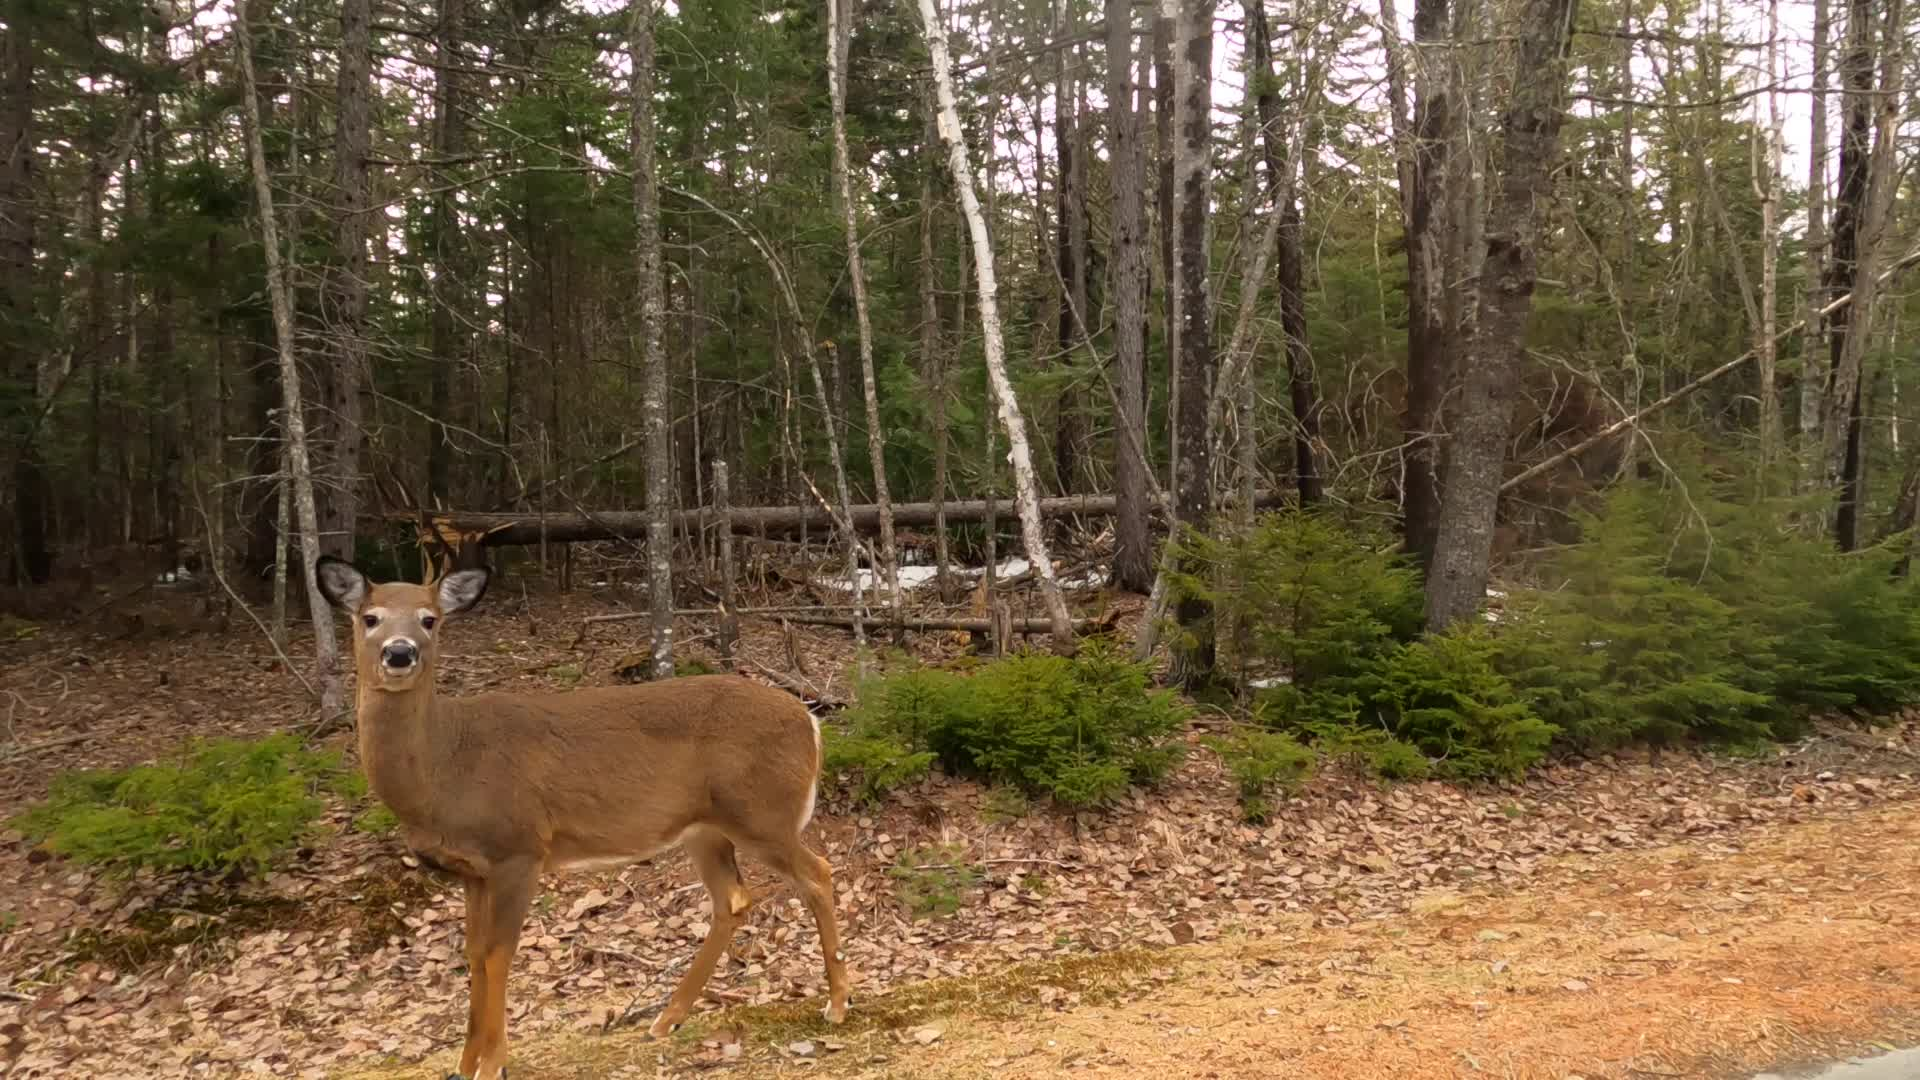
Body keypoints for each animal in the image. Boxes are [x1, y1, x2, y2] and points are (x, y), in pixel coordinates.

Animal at [313, 555, 851, 1080]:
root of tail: (810, 720)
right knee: (734, 900)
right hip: (706, 830)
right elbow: (473, 955)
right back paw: (667, 1019)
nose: (400, 653)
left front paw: (493, 1064)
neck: (445, 765)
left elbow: (498, 955)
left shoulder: (519, 849)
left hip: (763, 814)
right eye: (369, 618)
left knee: (819, 872)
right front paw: (464, 1065)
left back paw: (837, 1004)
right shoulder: (472, 870)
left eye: (430, 619)